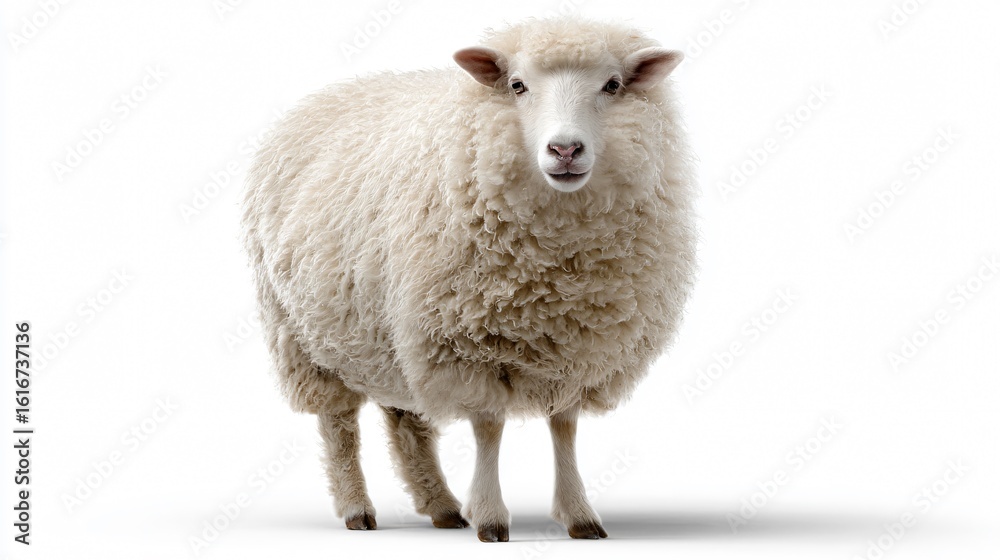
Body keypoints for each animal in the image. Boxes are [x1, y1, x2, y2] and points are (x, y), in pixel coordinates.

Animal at [241, 17, 696, 542]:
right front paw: (492, 517)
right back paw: (358, 508)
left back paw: (440, 505)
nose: (564, 149)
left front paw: (579, 514)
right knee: (338, 424)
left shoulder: (576, 348)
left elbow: (564, 426)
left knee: (407, 423)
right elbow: (489, 428)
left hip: (390, 338)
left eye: (613, 85)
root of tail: (331, 93)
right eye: (517, 85)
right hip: (303, 337)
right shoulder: (467, 342)